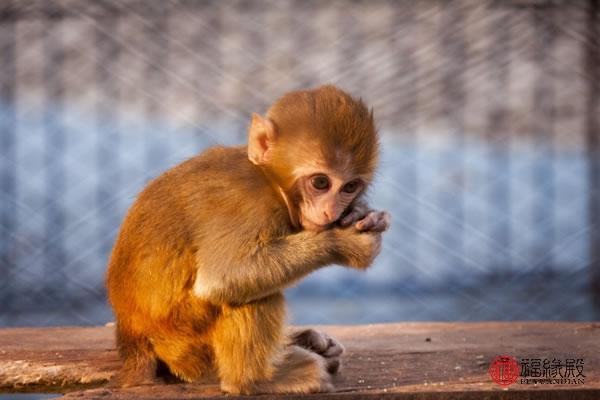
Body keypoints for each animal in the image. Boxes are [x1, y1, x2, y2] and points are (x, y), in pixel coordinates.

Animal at [106, 84, 392, 394]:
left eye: (350, 187)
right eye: (320, 182)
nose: (331, 210)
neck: (272, 184)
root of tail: (133, 337)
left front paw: (362, 215)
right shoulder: (247, 206)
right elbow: (221, 277)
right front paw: (346, 244)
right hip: (181, 339)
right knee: (251, 296)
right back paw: (254, 379)